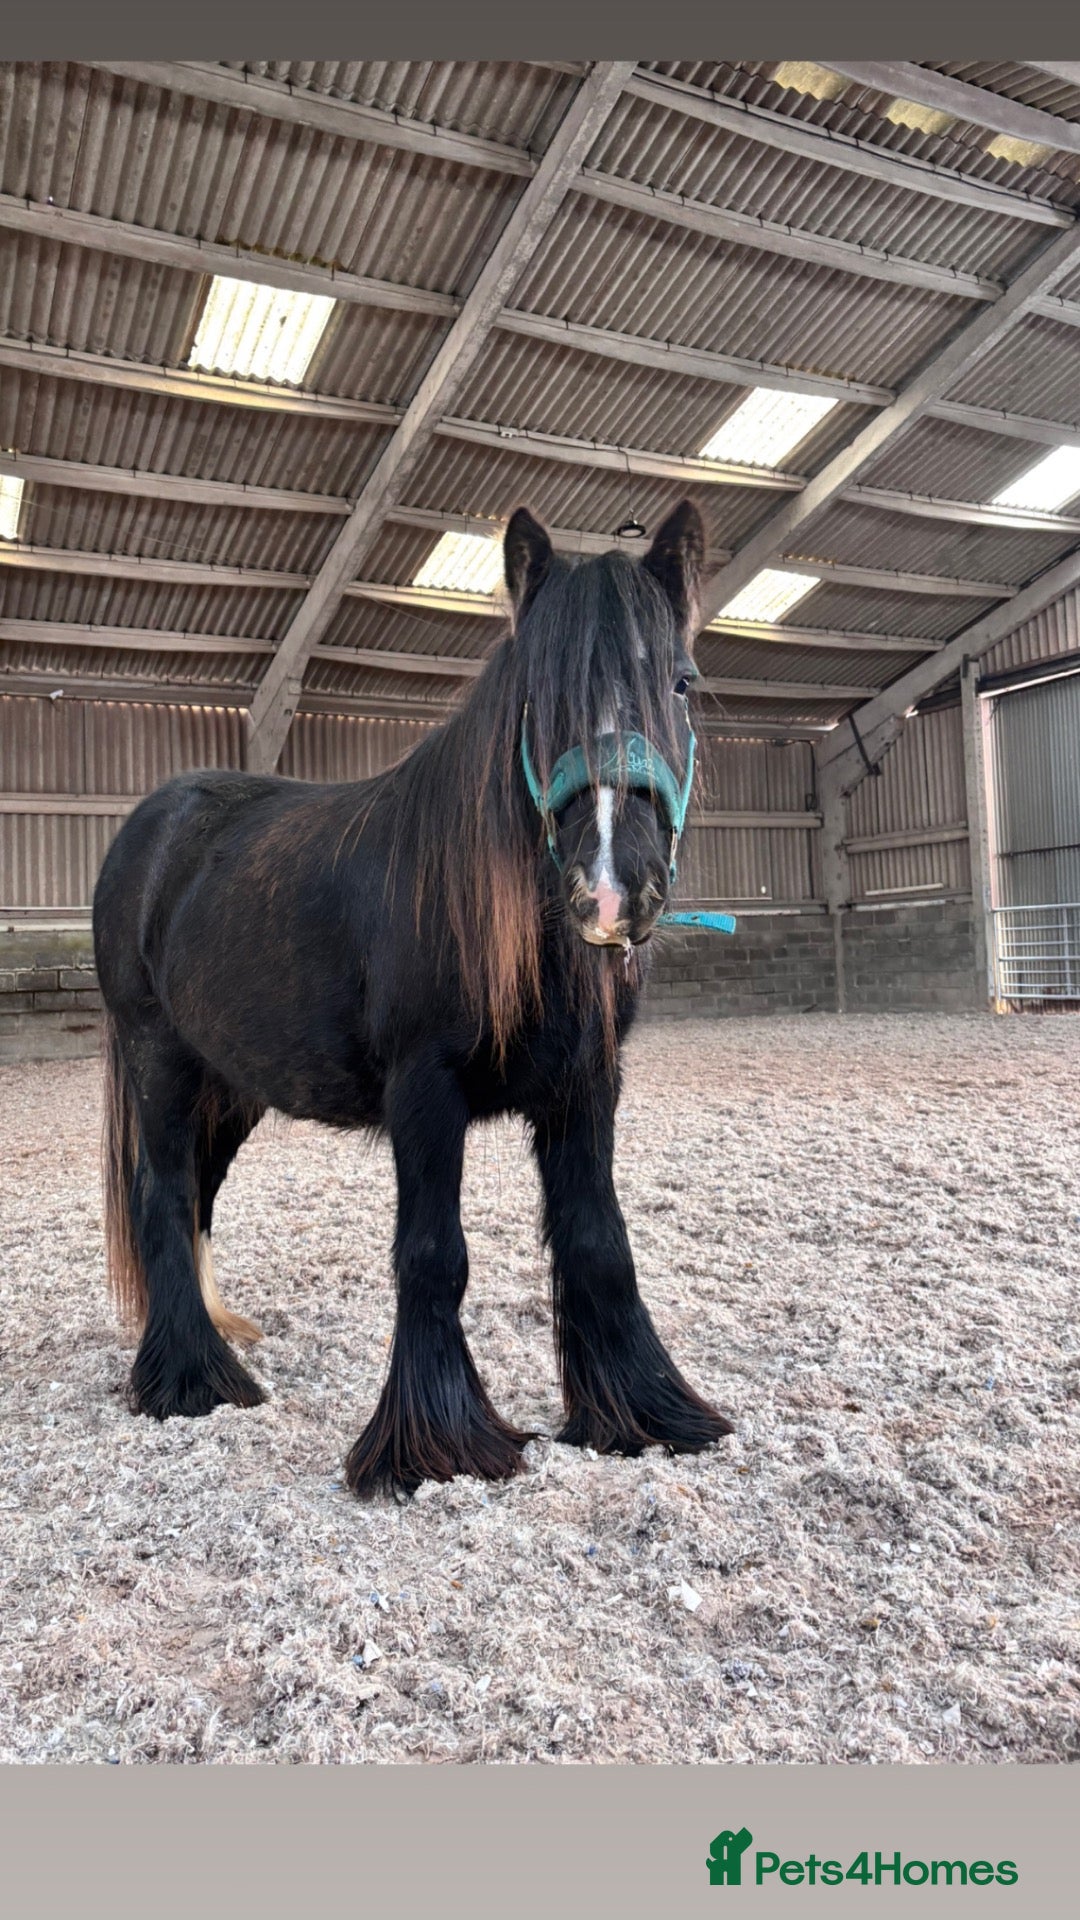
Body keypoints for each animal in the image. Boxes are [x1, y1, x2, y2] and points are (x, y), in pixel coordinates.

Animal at [93, 498, 734, 1498]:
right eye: (539, 697)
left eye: (680, 682)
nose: (613, 887)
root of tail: (150, 831)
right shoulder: (424, 1094)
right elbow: (434, 1257)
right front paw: (438, 1445)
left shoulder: (588, 1089)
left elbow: (599, 1242)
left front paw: (643, 1415)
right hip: (159, 1063)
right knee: (162, 1199)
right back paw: (193, 1382)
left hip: (225, 1087)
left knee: (194, 1197)